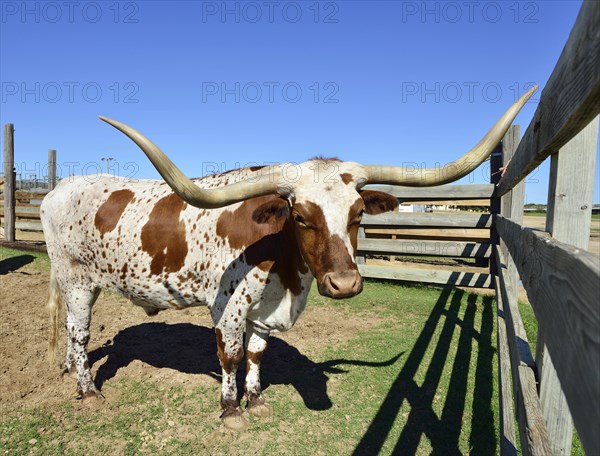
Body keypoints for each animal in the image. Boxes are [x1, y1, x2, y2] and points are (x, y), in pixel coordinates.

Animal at [43, 86, 540, 432]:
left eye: (358, 214)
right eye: (300, 217)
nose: (345, 284)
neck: (282, 267)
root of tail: (56, 190)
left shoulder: (265, 311)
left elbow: (257, 354)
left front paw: (257, 401)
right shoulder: (228, 307)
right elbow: (231, 355)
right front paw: (231, 411)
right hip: (77, 283)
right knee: (80, 334)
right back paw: (87, 391)